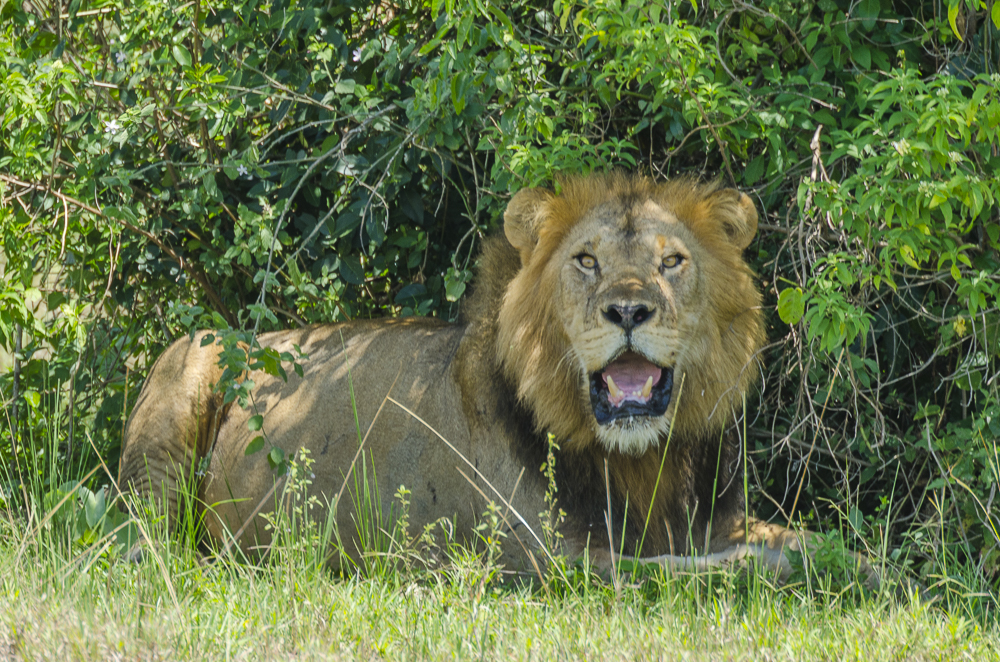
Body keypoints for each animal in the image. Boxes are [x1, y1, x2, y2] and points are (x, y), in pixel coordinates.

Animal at [117, 173, 812, 578]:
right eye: (586, 261)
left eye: (672, 262)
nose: (628, 311)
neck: (638, 460)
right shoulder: (545, 559)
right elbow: (689, 568)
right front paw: (781, 565)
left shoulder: (709, 517)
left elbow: (794, 536)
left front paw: (830, 556)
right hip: (183, 380)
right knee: (142, 543)